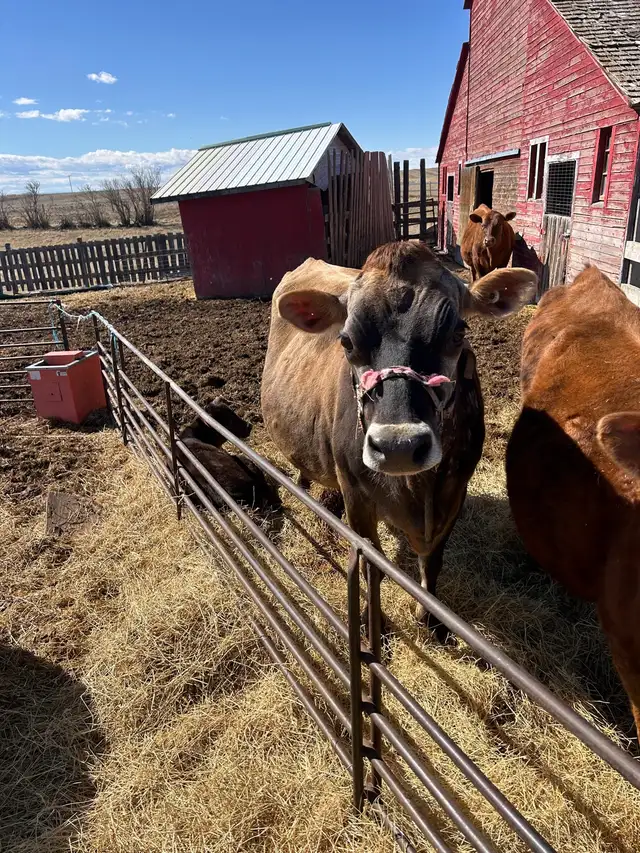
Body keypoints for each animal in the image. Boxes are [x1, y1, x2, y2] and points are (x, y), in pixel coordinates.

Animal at [262, 241, 537, 632]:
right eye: (346, 341)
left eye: (458, 333)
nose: (399, 447)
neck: (417, 491)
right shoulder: (356, 495)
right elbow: (370, 565)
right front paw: (371, 622)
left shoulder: (455, 491)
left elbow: (432, 562)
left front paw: (431, 620)